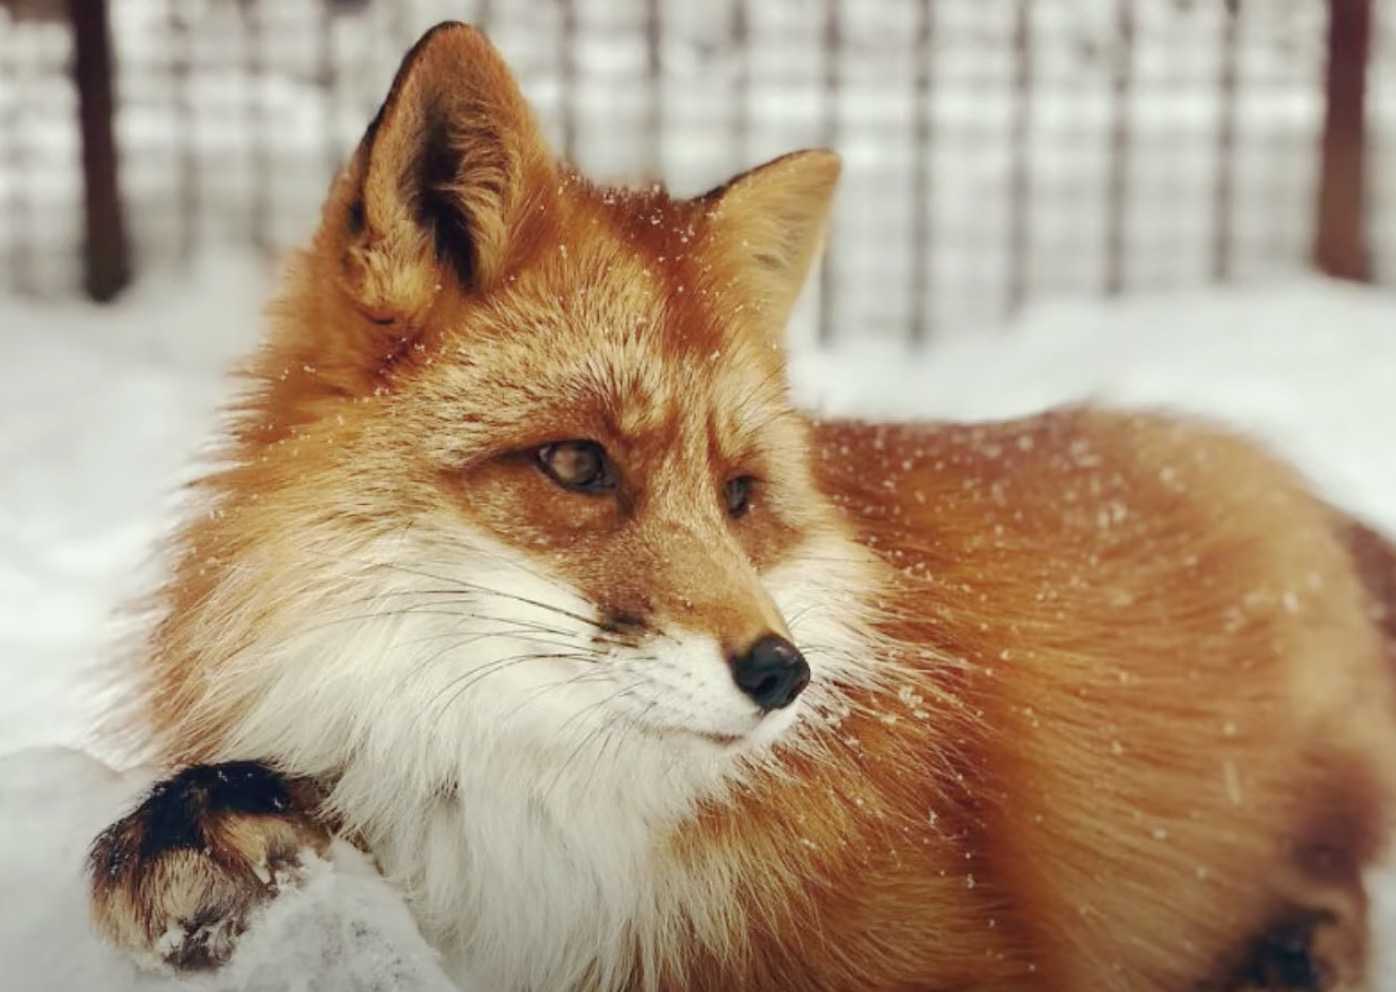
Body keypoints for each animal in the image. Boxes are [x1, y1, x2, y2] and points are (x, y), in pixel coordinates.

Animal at [84, 21, 1396, 992]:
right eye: (577, 464)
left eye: (739, 495)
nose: (783, 672)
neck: (523, 815)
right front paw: (203, 845)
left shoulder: (954, 951)